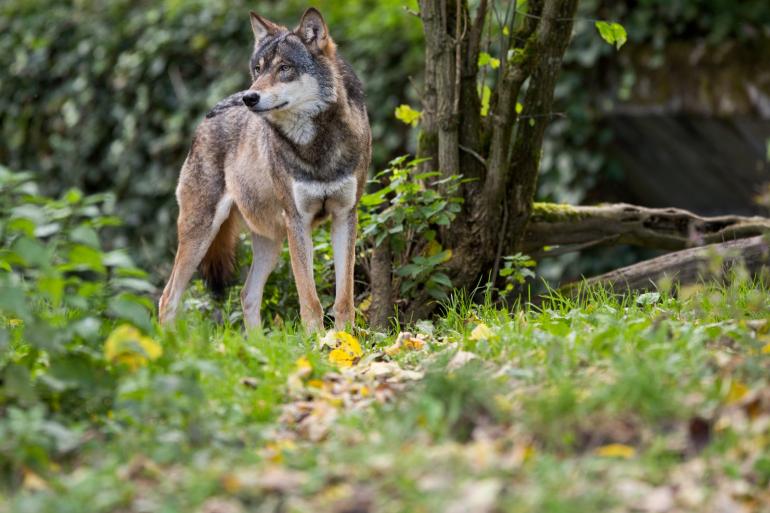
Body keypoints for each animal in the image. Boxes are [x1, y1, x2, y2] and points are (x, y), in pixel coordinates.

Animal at [158, 8, 371, 331]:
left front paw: (344, 340)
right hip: (201, 231)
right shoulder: (298, 221)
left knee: (247, 295)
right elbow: (310, 301)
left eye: (284, 68)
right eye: (258, 69)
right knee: (168, 297)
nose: (250, 97)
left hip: (270, 240)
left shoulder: (345, 216)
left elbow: (344, 299)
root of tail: (208, 116)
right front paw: (317, 341)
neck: (317, 146)